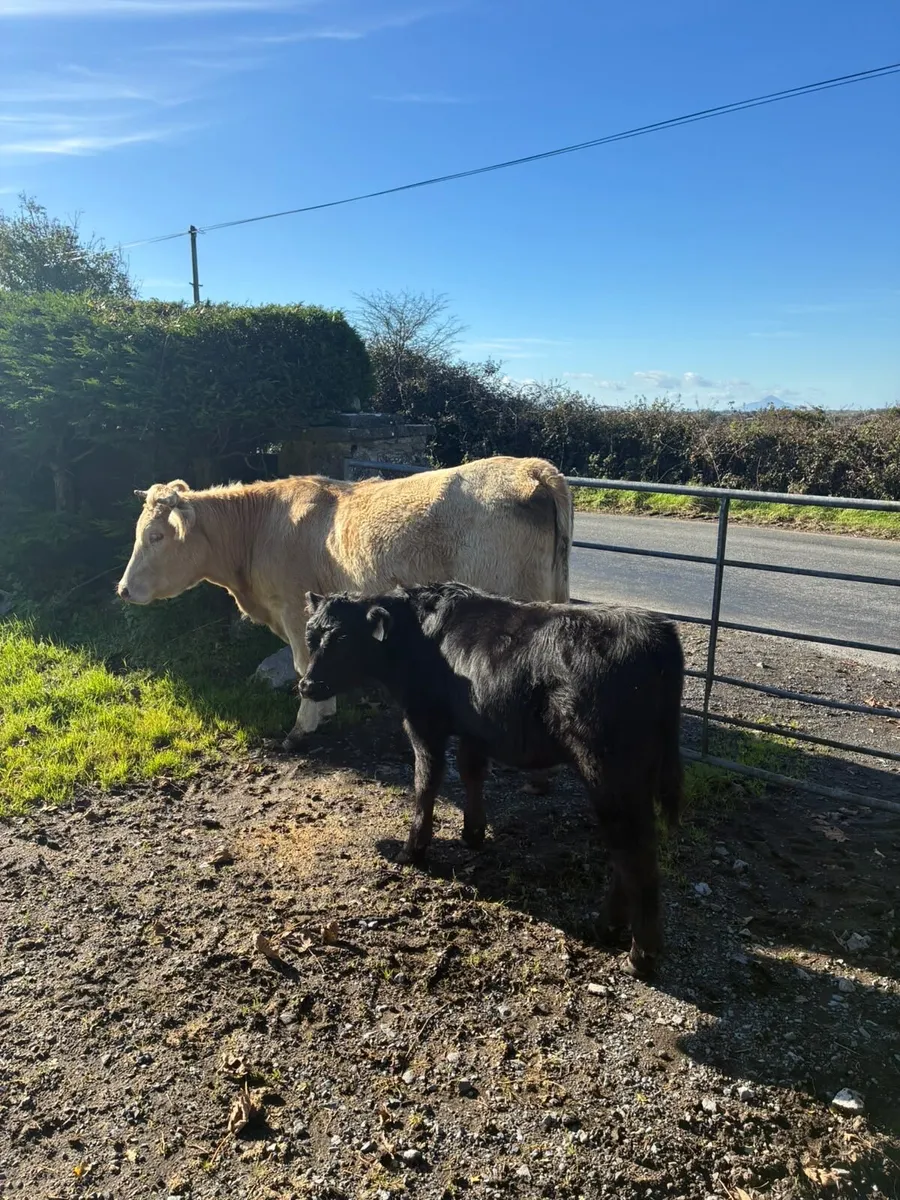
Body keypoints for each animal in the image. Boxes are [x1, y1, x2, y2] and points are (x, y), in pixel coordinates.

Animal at [116, 456, 573, 757]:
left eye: (156, 536)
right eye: (139, 532)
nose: (122, 589)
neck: (261, 528)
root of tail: (532, 467)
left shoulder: (294, 608)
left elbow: (301, 664)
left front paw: (303, 726)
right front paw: (325, 709)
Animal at [299, 582, 685, 978]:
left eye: (344, 639)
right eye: (310, 636)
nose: (307, 685)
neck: (416, 636)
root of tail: (655, 629)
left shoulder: (424, 722)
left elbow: (426, 782)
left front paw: (413, 850)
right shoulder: (474, 727)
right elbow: (471, 771)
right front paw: (473, 833)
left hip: (608, 770)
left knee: (636, 854)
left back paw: (639, 955)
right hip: (634, 777)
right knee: (629, 849)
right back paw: (607, 927)